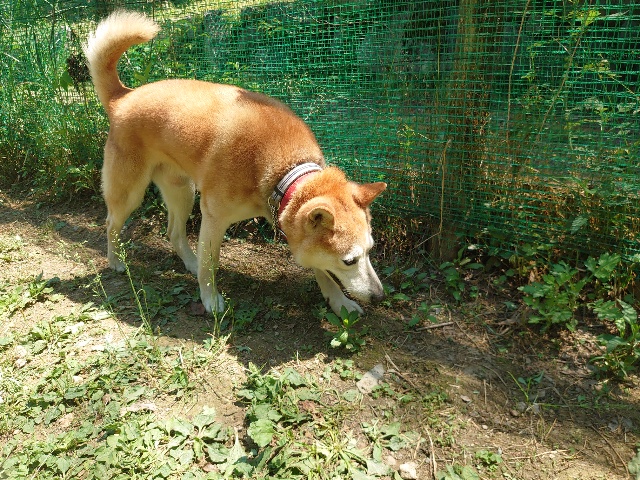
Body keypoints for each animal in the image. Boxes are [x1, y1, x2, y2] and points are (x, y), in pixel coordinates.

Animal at [84, 10, 386, 315]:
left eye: (370, 251)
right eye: (349, 261)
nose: (380, 296)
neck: (285, 171)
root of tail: (123, 96)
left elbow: (323, 271)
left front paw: (339, 302)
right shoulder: (213, 219)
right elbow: (210, 264)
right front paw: (209, 298)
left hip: (182, 192)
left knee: (173, 233)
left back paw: (189, 262)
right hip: (130, 193)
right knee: (111, 224)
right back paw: (116, 261)